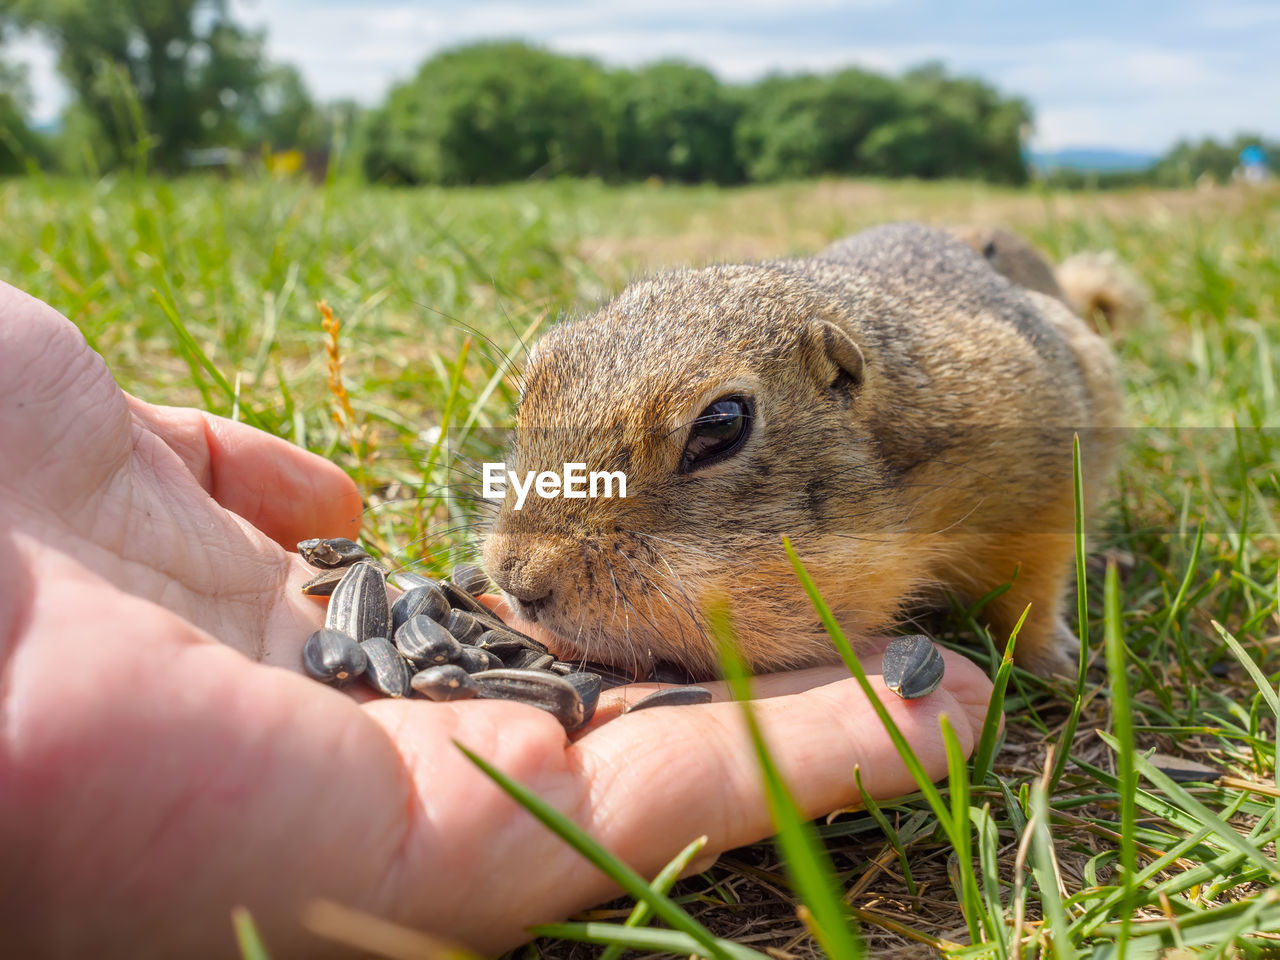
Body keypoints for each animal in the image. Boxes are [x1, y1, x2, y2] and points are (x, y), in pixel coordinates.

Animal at [481, 222, 1121, 680]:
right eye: (534, 379)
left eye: (721, 425)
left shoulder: (1045, 469)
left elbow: (1034, 586)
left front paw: (1056, 660)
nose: (517, 576)